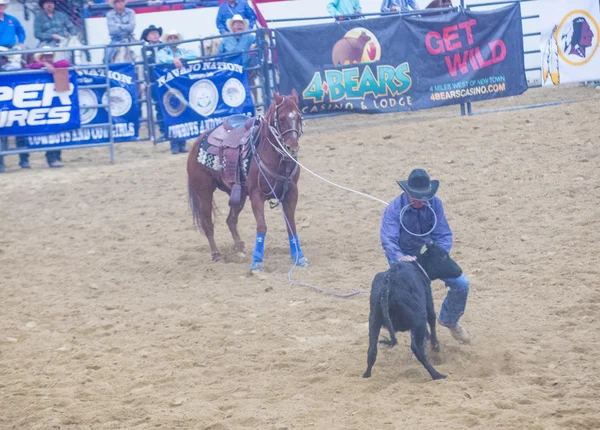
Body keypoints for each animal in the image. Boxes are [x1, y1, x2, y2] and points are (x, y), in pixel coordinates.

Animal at [185, 90, 308, 272]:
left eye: (298, 117)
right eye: (281, 118)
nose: (292, 147)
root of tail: (198, 141)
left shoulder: (291, 193)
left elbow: (291, 225)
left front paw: (299, 257)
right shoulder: (257, 195)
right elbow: (262, 226)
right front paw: (257, 261)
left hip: (239, 194)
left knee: (231, 220)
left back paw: (240, 246)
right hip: (204, 192)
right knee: (207, 223)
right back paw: (216, 254)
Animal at [360, 242, 464, 380]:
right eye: (443, 256)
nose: (459, 270)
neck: (418, 266)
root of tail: (387, 285)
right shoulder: (428, 303)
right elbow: (432, 321)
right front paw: (435, 347)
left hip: (374, 320)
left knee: (372, 349)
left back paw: (366, 375)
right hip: (418, 318)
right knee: (417, 349)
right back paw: (437, 374)